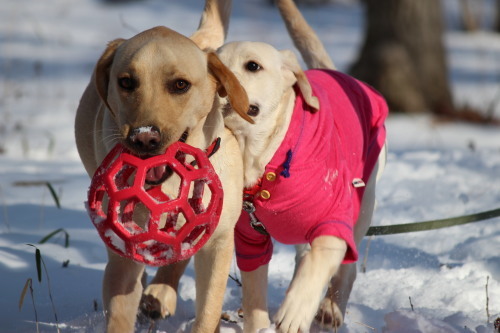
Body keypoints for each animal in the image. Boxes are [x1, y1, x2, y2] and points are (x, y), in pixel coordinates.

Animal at [73, 1, 254, 330]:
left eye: (180, 85)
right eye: (126, 82)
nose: (145, 138)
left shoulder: (218, 242)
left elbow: (207, 311)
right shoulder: (124, 250)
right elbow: (119, 311)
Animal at [216, 1, 390, 330]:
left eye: (253, 66)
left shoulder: (334, 222)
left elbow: (320, 261)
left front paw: (294, 312)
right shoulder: (248, 238)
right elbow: (255, 292)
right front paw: (260, 325)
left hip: (364, 202)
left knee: (345, 268)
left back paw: (330, 309)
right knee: (303, 255)